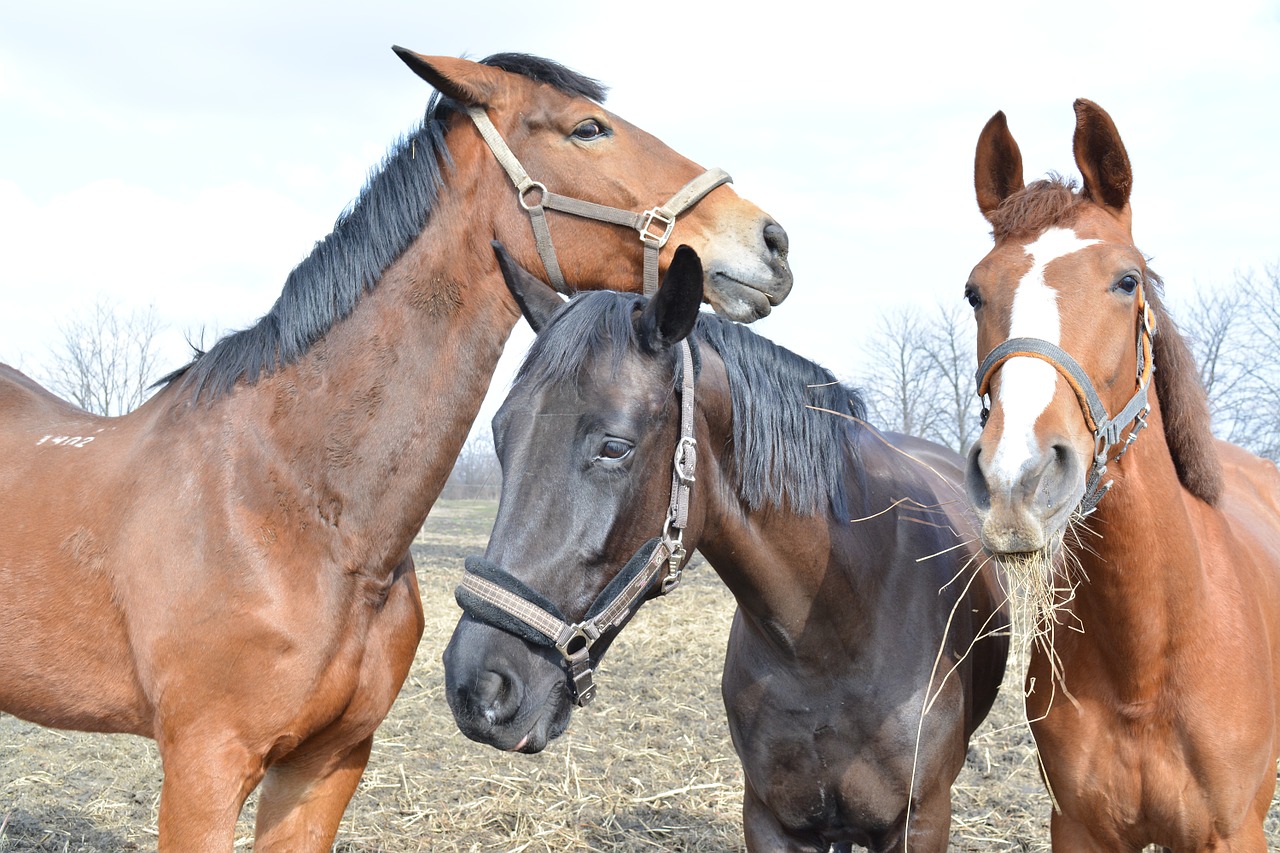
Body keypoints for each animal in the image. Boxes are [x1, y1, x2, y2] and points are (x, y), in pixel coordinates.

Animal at [440, 242, 1008, 845]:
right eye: (500, 432)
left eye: (615, 447)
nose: (476, 686)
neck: (833, 634)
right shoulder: (769, 817)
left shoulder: (921, 821)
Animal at [962, 97, 1280, 845]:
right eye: (974, 293)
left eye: (1126, 280)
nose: (1017, 480)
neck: (1151, 656)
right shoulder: (1079, 828)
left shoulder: (1235, 833)